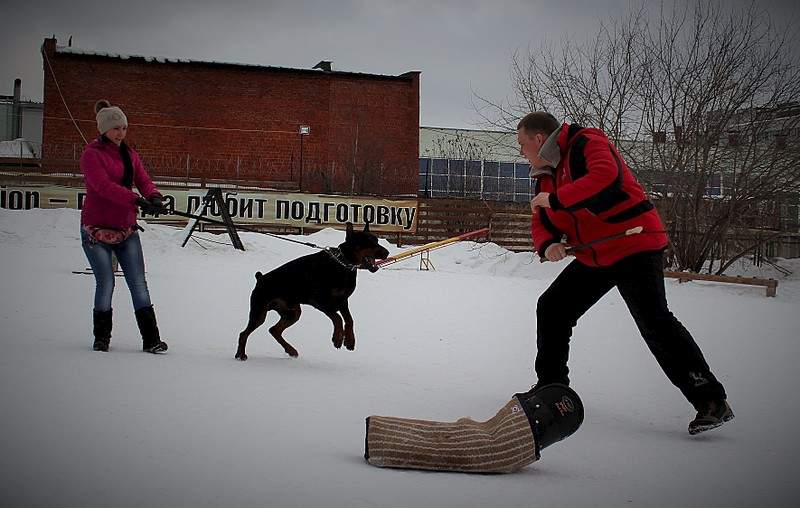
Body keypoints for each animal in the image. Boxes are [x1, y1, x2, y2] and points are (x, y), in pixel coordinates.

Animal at [236, 223, 390, 362]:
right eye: (368, 242)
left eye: (376, 240)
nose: (387, 253)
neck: (343, 265)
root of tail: (260, 278)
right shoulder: (320, 301)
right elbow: (337, 318)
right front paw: (337, 338)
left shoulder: (343, 300)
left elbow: (349, 319)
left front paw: (350, 341)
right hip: (259, 311)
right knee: (244, 333)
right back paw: (240, 355)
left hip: (293, 312)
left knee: (274, 330)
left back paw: (291, 351)